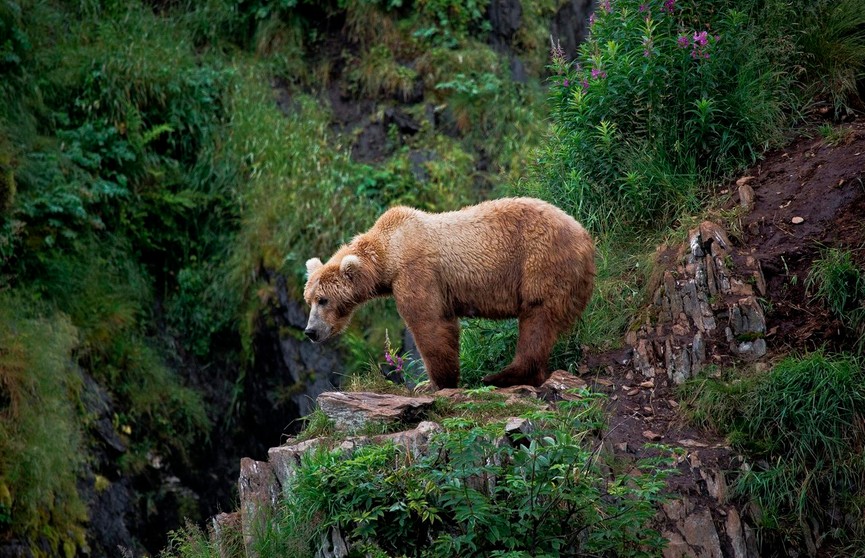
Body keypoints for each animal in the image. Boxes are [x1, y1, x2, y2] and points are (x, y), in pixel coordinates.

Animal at [304, 198, 592, 390]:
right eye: (309, 300)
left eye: (323, 300)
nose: (310, 331)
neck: (389, 254)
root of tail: (585, 236)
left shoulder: (416, 272)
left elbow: (430, 323)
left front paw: (435, 383)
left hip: (540, 261)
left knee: (537, 318)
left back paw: (502, 375)